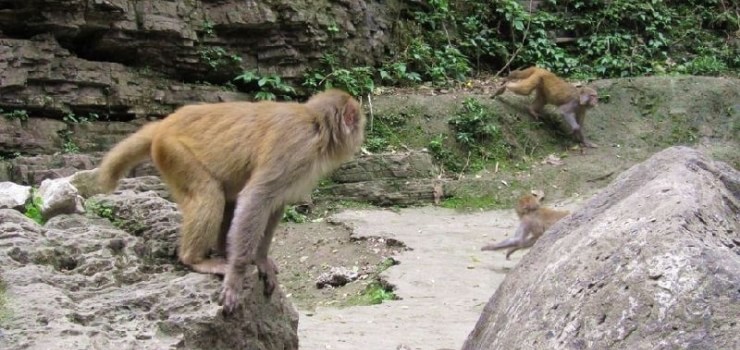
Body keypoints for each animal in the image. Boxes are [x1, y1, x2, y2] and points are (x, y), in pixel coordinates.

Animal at [97, 89, 366, 314]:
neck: (316, 125)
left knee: (228, 199)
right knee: (210, 195)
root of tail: (165, 123)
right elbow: (256, 198)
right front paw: (237, 274)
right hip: (173, 152)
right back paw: (196, 260)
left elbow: (273, 206)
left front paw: (260, 259)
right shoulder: (297, 147)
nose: (361, 133)